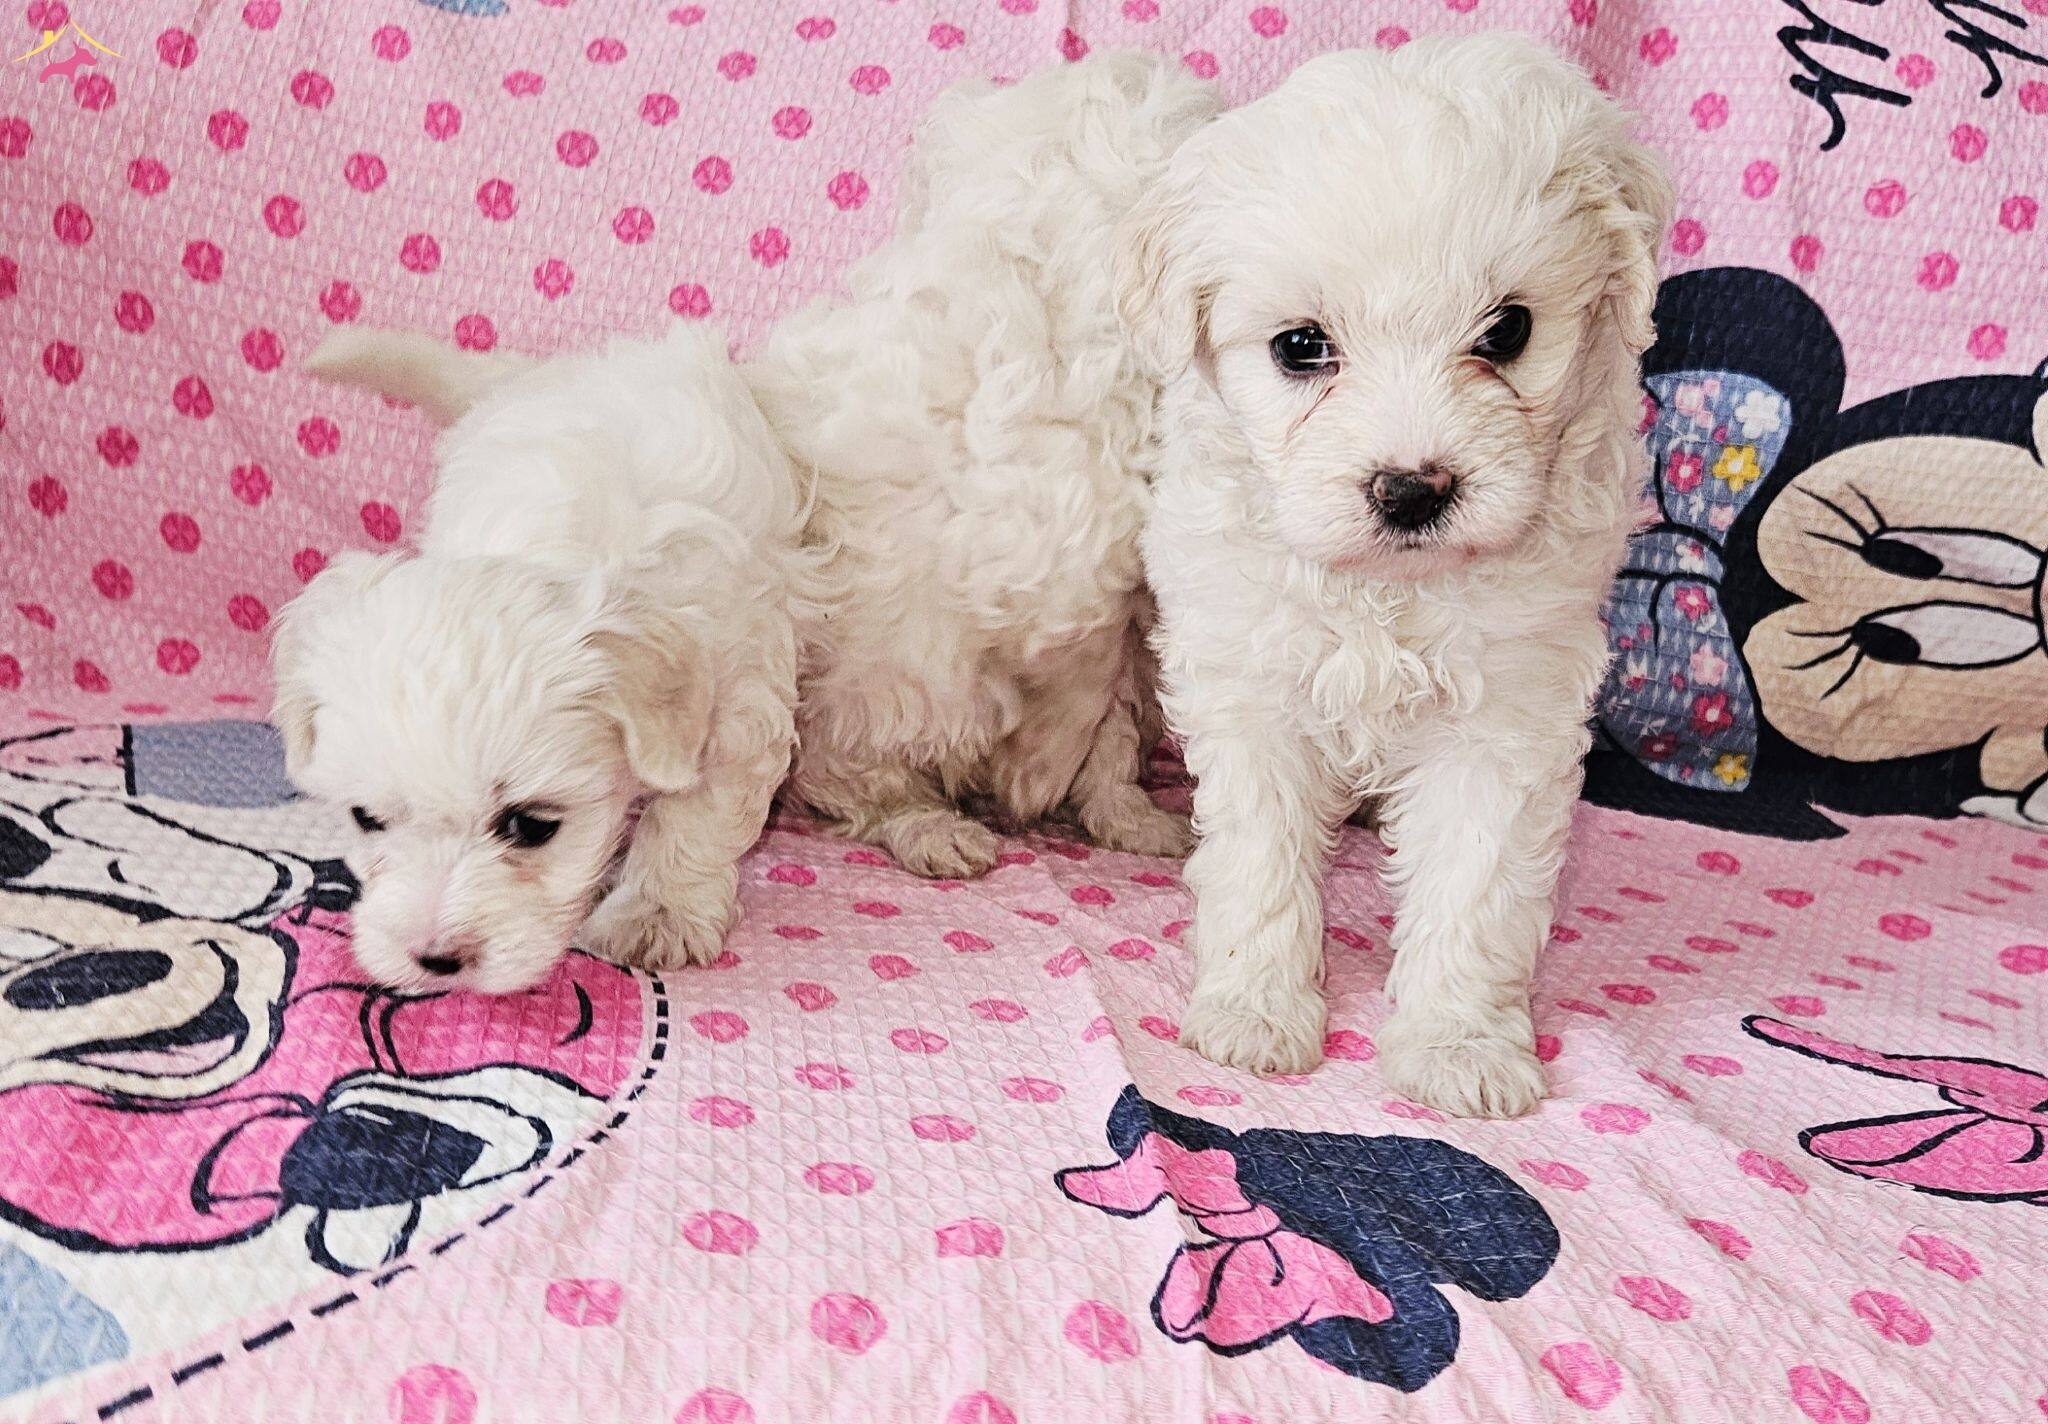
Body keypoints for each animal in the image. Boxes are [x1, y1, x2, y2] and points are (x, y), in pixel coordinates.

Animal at [276, 325, 818, 993]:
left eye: (531, 826)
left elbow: (696, 817)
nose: (436, 960)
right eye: (365, 817)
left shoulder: (739, 692)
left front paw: (657, 913)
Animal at [745, 52, 1217, 878]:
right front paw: (1036, 775)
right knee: (857, 782)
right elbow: (1079, 689)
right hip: (866, 703)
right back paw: (937, 828)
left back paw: (1125, 817)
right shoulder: (1053, 554)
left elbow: (1106, 711)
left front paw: (1088, 795)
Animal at [1126, 36, 1671, 1115]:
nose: (1412, 489)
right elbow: (1259, 857)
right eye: (1302, 346)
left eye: (1507, 331)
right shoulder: (1252, 681)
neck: (1388, 588)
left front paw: (1459, 1045)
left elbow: (1474, 885)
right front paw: (1253, 1013)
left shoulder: (1507, 711)